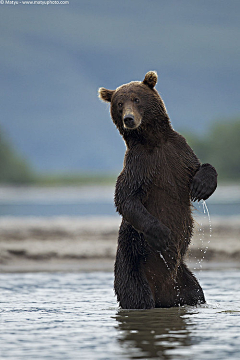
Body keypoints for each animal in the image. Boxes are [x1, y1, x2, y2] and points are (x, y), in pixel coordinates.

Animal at [98, 71, 218, 310]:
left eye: (136, 99)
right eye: (119, 104)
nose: (129, 119)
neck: (153, 141)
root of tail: (166, 295)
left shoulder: (178, 153)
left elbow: (201, 166)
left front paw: (202, 187)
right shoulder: (138, 165)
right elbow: (126, 198)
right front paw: (162, 235)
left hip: (185, 280)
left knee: (196, 293)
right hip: (133, 269)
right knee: (137, 297)